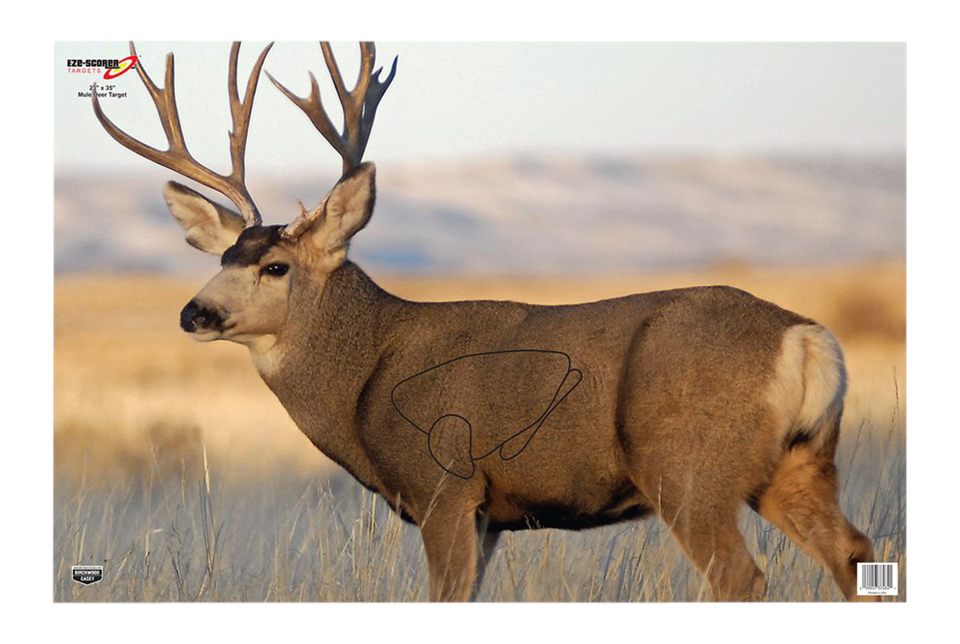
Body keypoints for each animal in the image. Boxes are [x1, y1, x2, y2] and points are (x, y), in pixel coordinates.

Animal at [92, 41, 877, 602]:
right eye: (225, 253)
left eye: (276, 267)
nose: (195, 311)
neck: (365, 377)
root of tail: (806, 338)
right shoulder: (493, 515)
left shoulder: (445, 485)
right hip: (797, 463)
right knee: (857, 554)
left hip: (688, 469)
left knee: (745, 578)